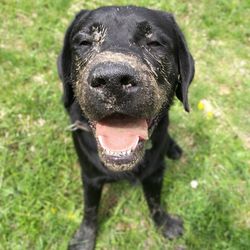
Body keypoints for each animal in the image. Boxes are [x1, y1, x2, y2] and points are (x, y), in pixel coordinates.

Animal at [57, 5, 194, 248]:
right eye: (84, 42)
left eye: (154, 43)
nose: (113, 80)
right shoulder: (90, 177)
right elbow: (90, 209)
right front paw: (85, 238)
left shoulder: (155, 173)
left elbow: (155, 202)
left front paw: (165, 225)